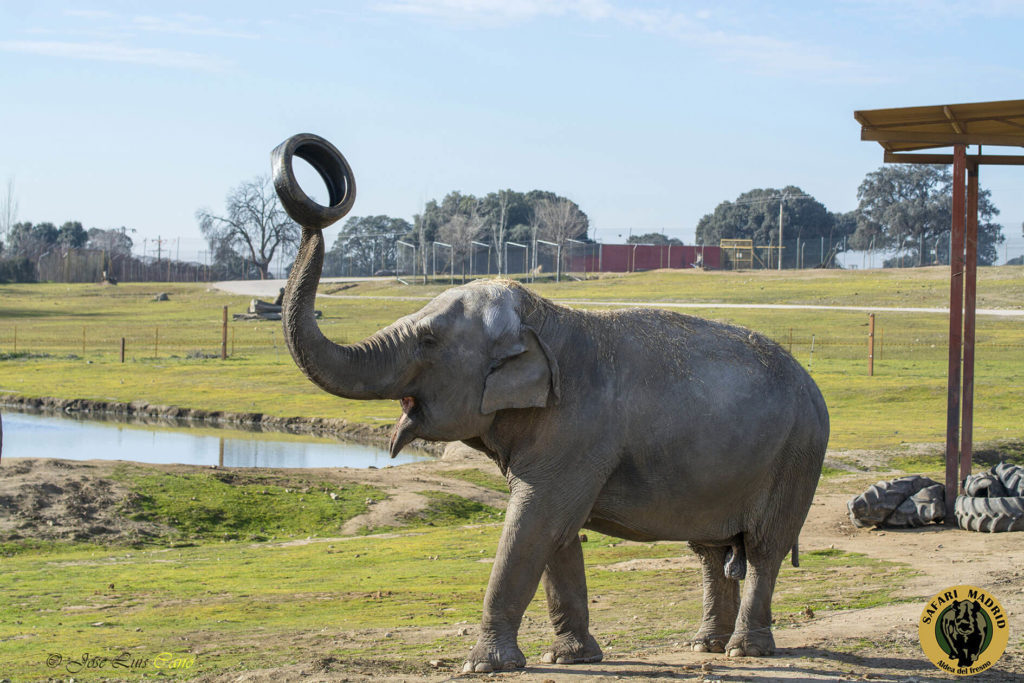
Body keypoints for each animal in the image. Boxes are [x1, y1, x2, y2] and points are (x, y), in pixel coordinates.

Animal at [272, 133, 831, 671]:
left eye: (428, 341)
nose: (314, 213)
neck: (545, 315)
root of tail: (813, 386)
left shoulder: (576, 434)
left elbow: (534, 524)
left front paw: (484, 665)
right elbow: (557, 536)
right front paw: (568, 657)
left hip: (798, 455)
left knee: (763, 548)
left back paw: (745, 651)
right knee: (711, 550)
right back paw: (705, 646)